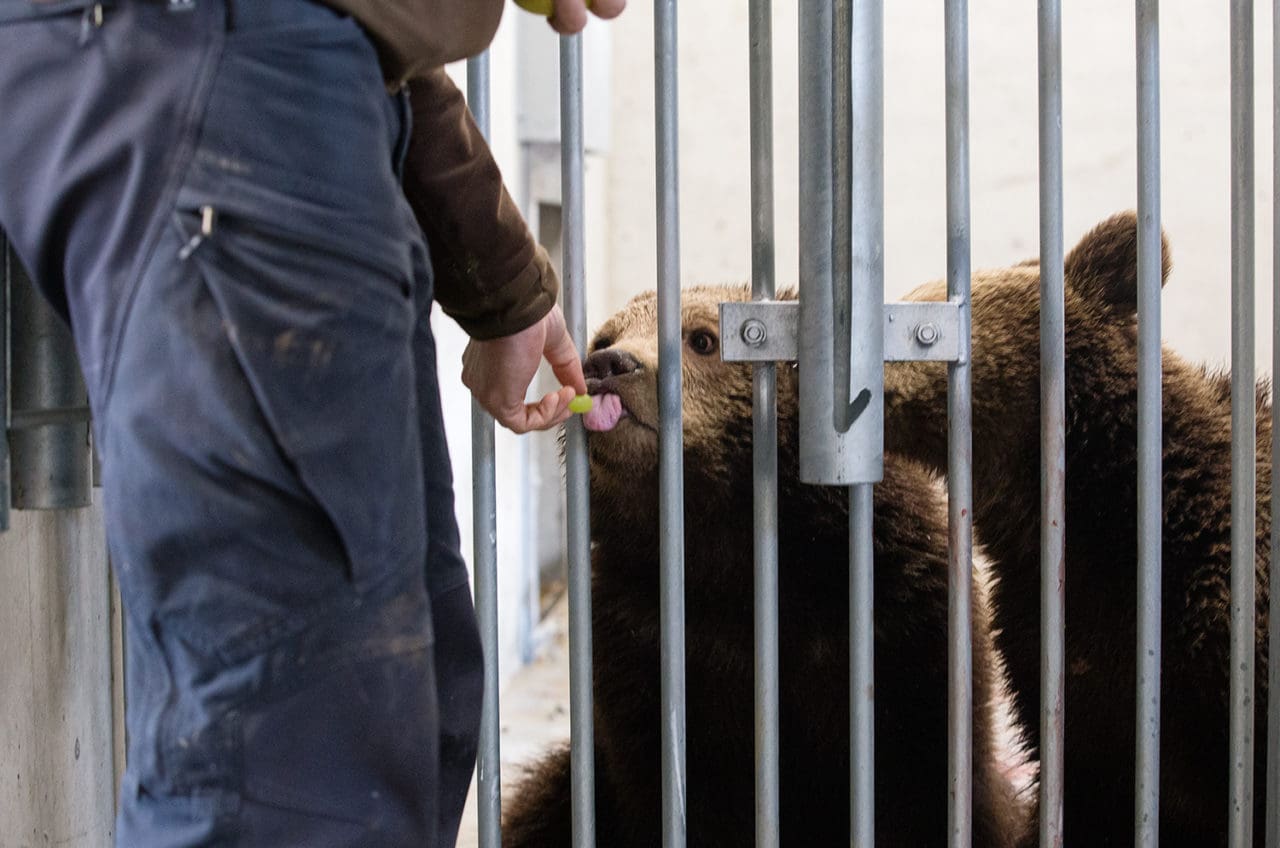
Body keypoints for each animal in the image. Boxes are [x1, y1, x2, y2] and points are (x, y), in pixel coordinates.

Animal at [499, 286, 1029, 848]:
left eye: (702, 339)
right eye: (603, 337)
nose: (610, 364)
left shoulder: (900, 619)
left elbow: (916, 781)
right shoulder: (641, 641)